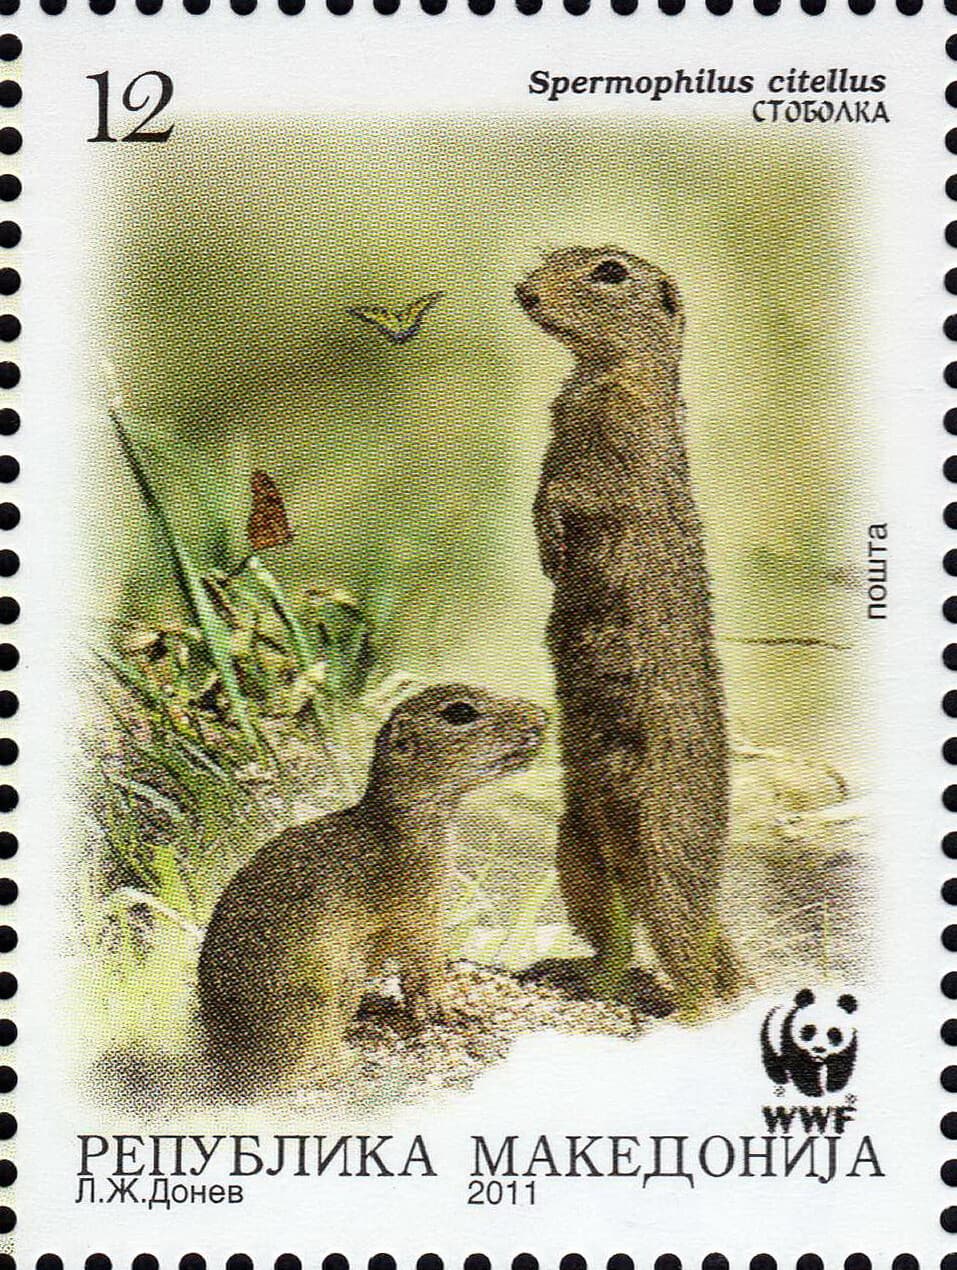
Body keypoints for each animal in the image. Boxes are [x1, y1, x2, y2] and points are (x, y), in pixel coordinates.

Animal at [197, 684, 547, 1094]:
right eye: (460, 712)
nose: (541, 716)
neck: (393, 827)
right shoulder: (418, 912)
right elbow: (425, 969)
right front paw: (452, 1008)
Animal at [514, 245, 740, 1019]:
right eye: (547, 257)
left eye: (609, 272)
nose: (522, 290)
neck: (596, 374)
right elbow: (544, 481)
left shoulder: (616, 449)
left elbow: (568, 491)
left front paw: (551, 543)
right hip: (575, 850)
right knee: (616, 943)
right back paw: (573, 977)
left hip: (668, 857)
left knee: (690, 960)